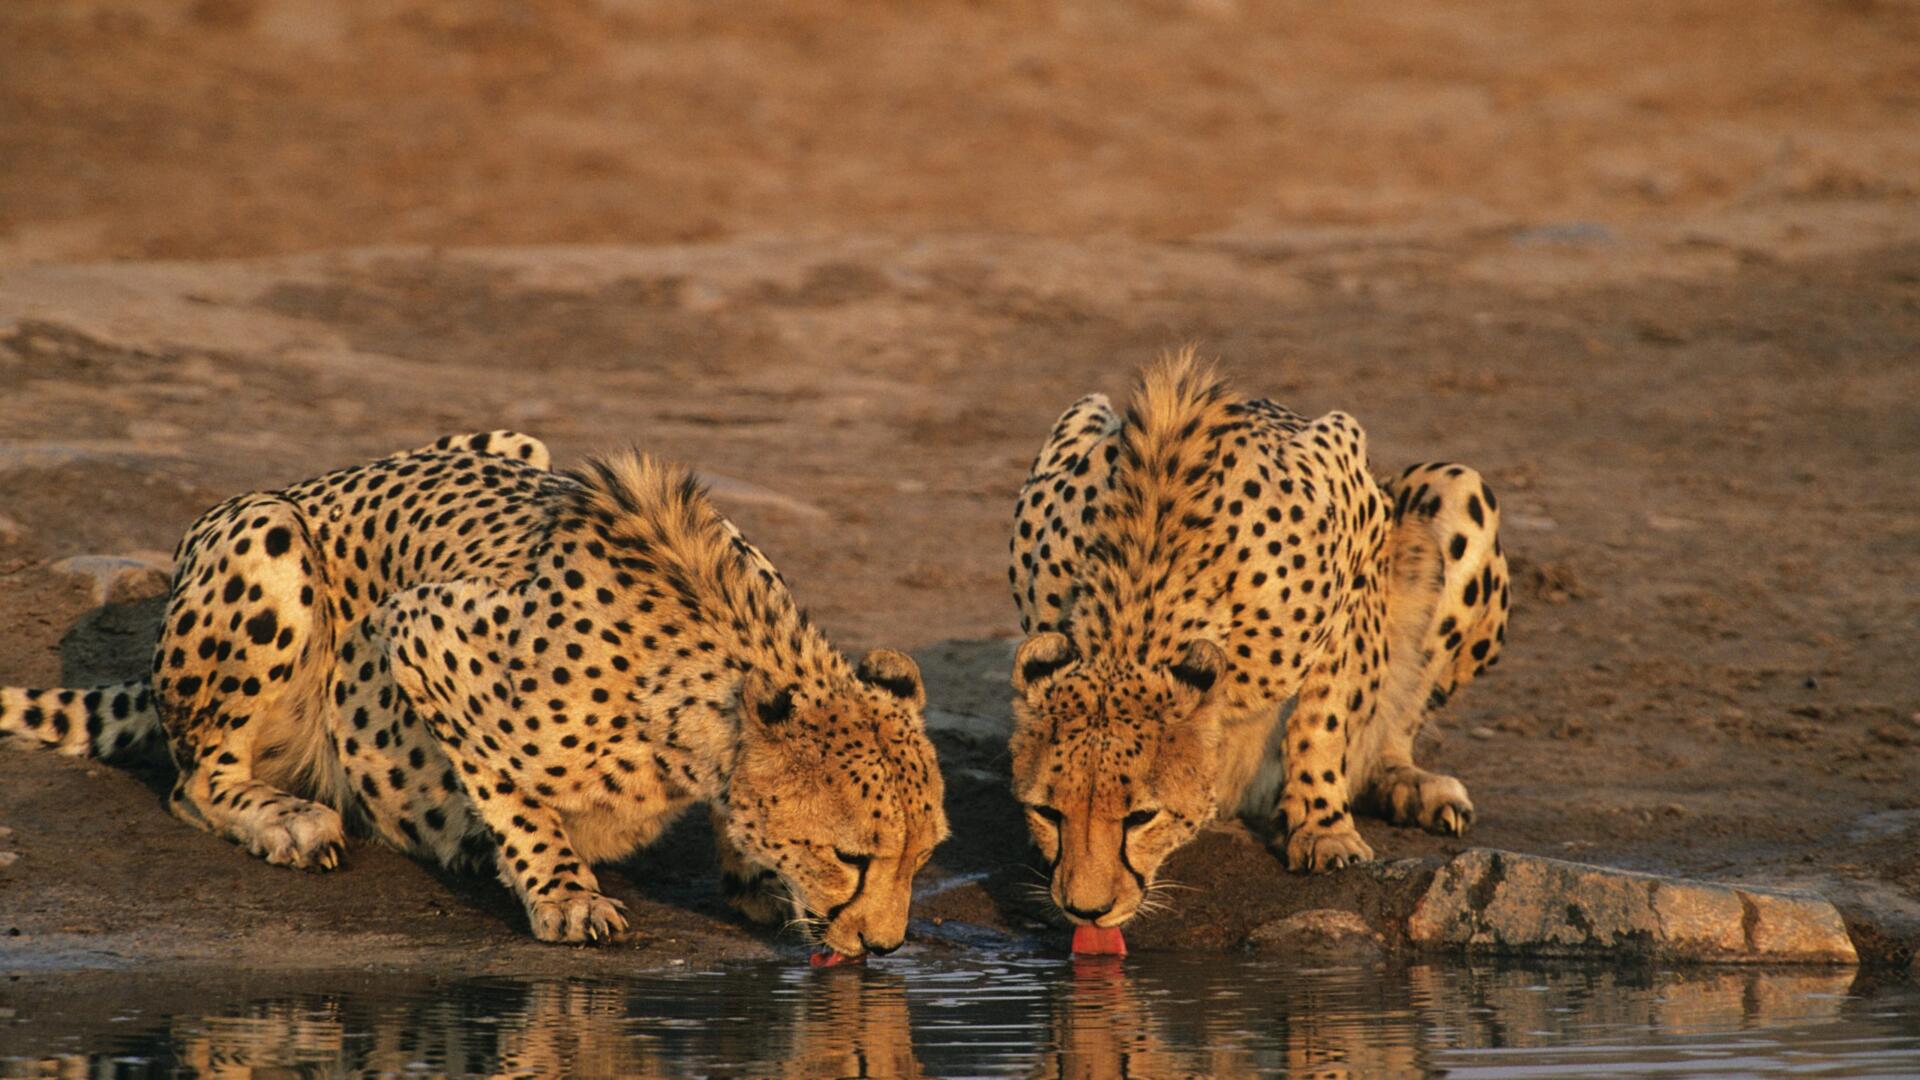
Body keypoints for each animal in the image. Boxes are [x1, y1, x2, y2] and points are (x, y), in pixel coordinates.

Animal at [1, 433, 948, 955]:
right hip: (266, 535)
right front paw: (563, 894)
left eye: (923, 857)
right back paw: (288, 820)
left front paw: (754, 874)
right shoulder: (422, 632)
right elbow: (515, 795)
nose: (884, 948)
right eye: (853, 857)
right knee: (193, 781)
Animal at [1006, 351, 1509, 929]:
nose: (1086, 911)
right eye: (1048, 812)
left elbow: (1322, 713)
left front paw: (1322, 826)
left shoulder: (1356, 505)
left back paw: (1405, 781)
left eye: (1141, 817)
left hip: (1459, 490)